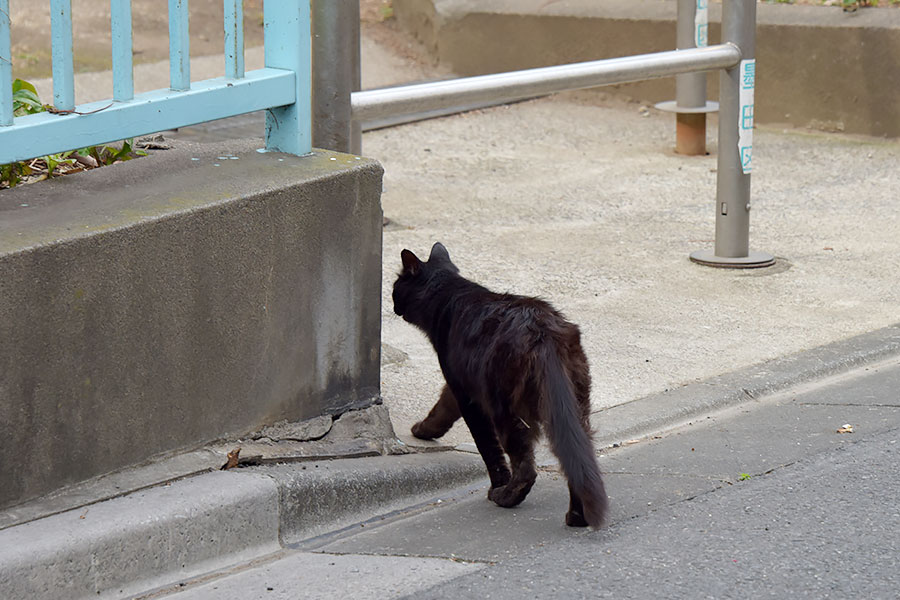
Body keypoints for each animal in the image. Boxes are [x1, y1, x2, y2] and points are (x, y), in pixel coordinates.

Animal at [392, 241, 608, 528]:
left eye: (395, 285)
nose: (393, 303)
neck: (448, 296)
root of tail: (542, 333)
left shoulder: (468, 396)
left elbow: (487, 447)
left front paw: (497, 484)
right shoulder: (458, 384)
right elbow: (442, 408)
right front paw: (423, 430)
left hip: (506, 409)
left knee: (526, 468)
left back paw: (506, 497)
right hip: (576, 405)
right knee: (578, 457)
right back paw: (576, 517)